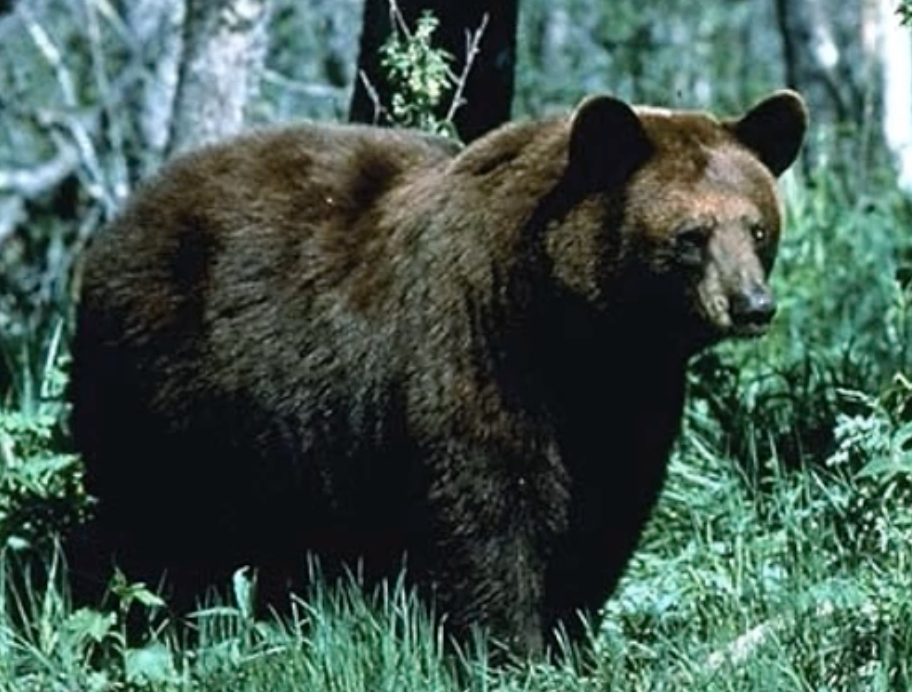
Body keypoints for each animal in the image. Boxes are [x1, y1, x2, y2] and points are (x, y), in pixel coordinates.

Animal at [68, 90, 808, 658]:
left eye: (757, 228)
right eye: (690, 237)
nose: (752, 305)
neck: (575, 328)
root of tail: (123, 218)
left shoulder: (627, 402)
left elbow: (604, 516)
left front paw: (572, 638)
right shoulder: (474, 349)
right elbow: (488, 511)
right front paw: (511, 650)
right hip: (162, 389)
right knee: (155, 532)